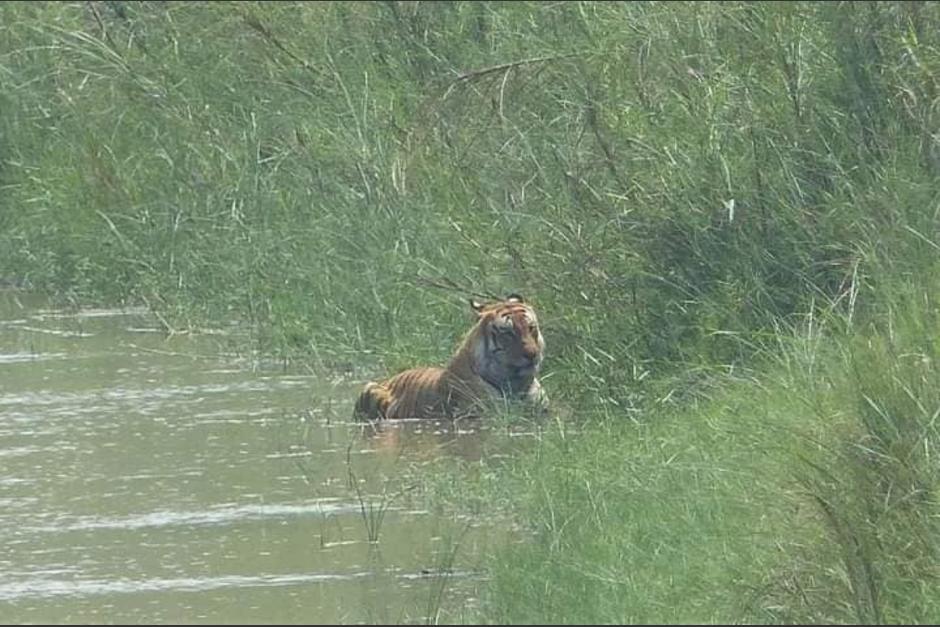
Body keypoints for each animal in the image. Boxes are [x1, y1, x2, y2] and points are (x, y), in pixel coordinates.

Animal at [353, 293, 547, 421]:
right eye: (508, 333)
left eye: (531, 328)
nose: (532, 354)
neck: (516, 383)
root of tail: (389, 378)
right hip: (370, 389)